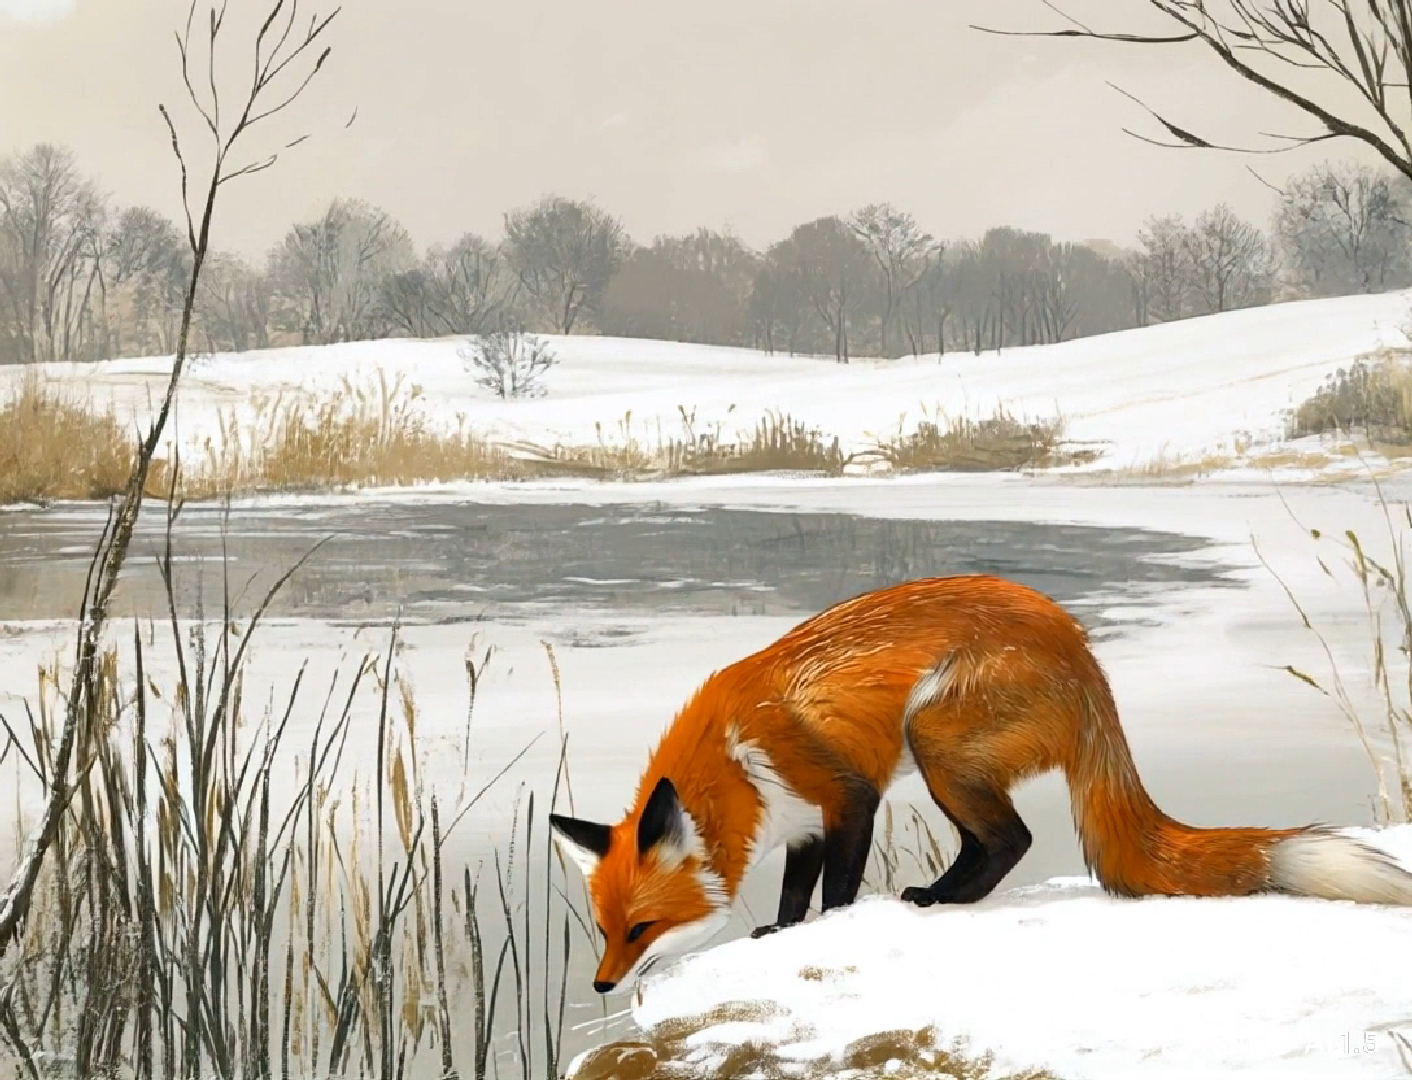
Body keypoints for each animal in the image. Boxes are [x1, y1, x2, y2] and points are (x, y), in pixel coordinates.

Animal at [549, 574, 1412, 994]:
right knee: (992, 842)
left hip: (932, 742)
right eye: (604, 928)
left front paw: (829, 926)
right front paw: (783, 930)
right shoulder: (800, 822)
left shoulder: (846, 795)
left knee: (1012, 839)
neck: (736, 758)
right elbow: (795, 889)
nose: (599, 985)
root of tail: (1085, 659)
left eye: (641, 929)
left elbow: (837, 883)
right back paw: (942, 895)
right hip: (946, 760)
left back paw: (940, 899)